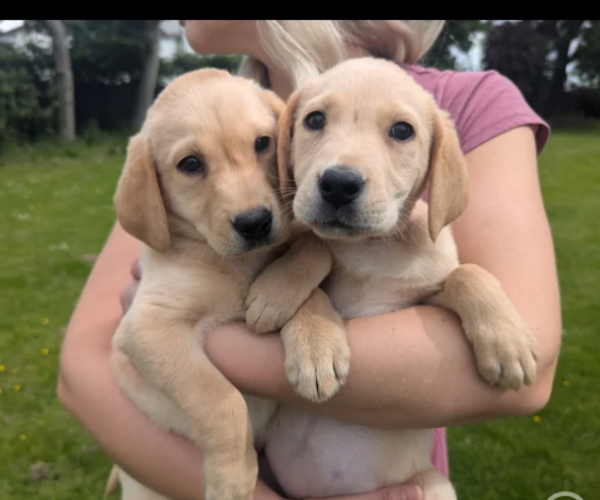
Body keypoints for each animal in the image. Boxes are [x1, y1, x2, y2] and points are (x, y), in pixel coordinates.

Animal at [105, 69, 344, 500]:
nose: (255, 223)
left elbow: (312, 254)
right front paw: (231, 478)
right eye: (190, 164)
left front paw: (315, 342)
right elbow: (220, 399)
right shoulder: (147, 328)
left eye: (263, 142)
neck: (233, 262)